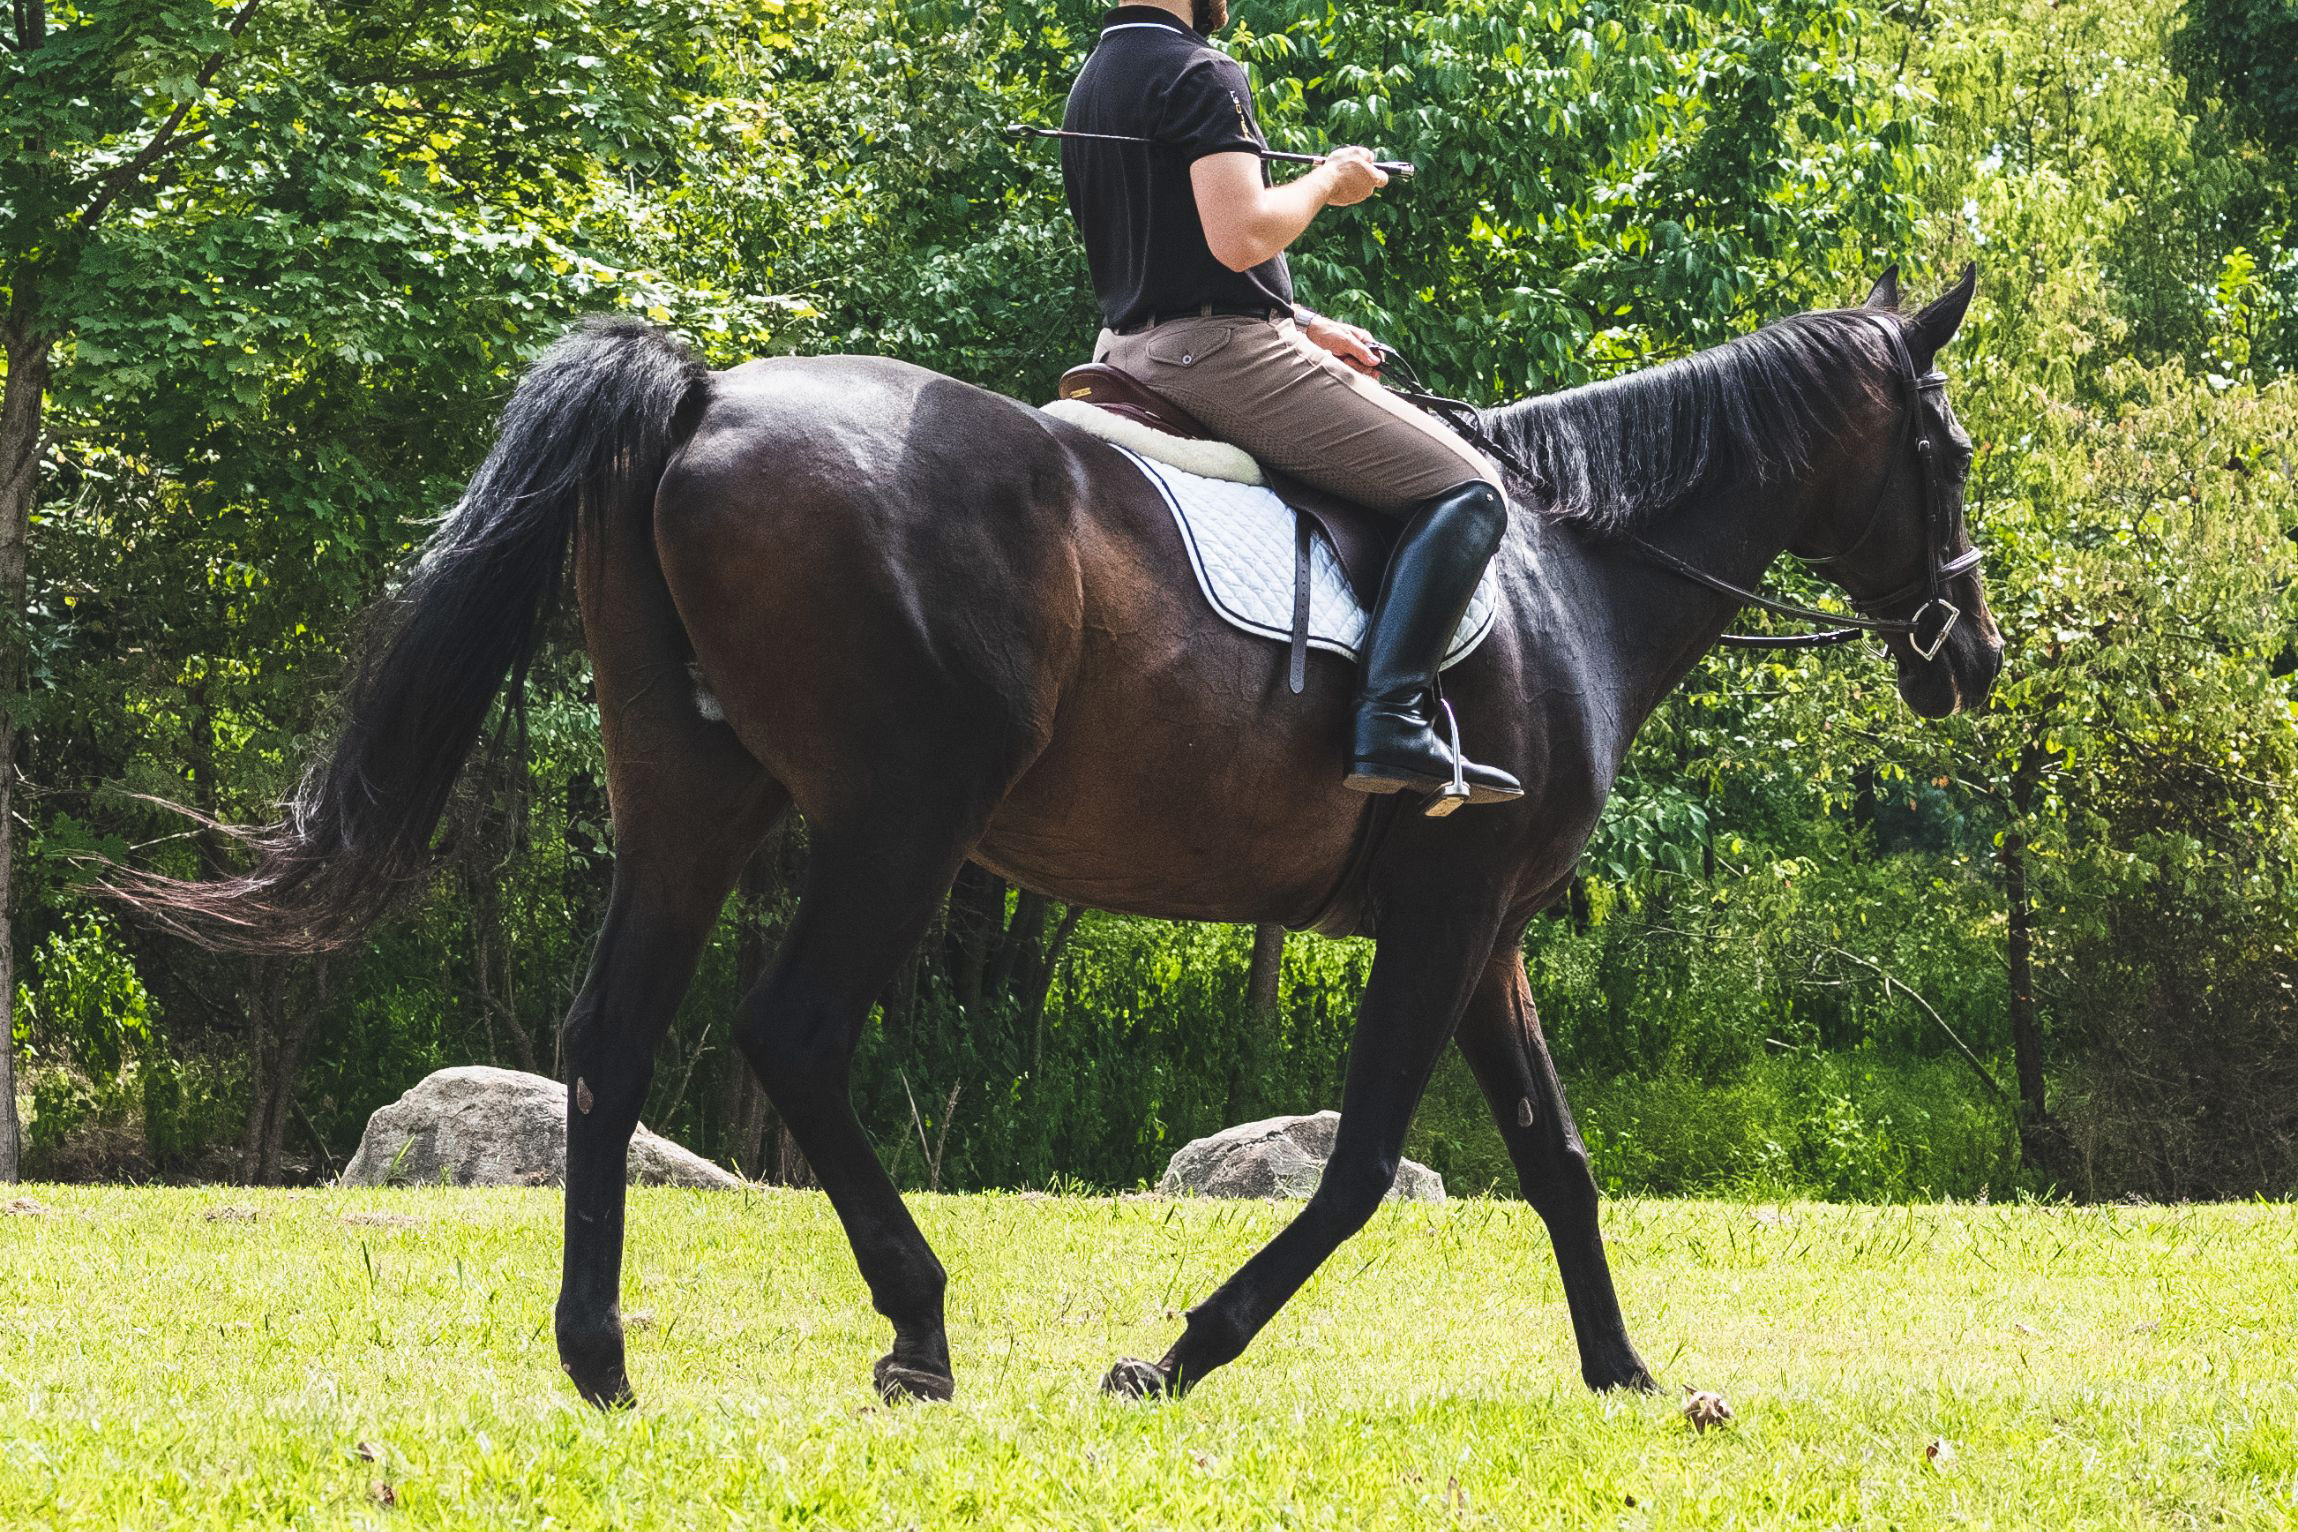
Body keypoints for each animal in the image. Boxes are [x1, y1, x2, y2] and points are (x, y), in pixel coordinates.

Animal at [116, 269, 2003, 1405]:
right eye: (1950, 449)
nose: (1970, 656)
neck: (1565, 572)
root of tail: (709, 398)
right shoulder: (1447, 911)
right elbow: (1358, 1165)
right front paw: (1178, 1356)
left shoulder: (1491, 929)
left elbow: (1555, 1157)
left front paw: (1623, 1374)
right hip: (900, 815)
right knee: (793, 1033)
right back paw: (916, 1327)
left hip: (692, 799)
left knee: (611, 1037)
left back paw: (601, 1357)